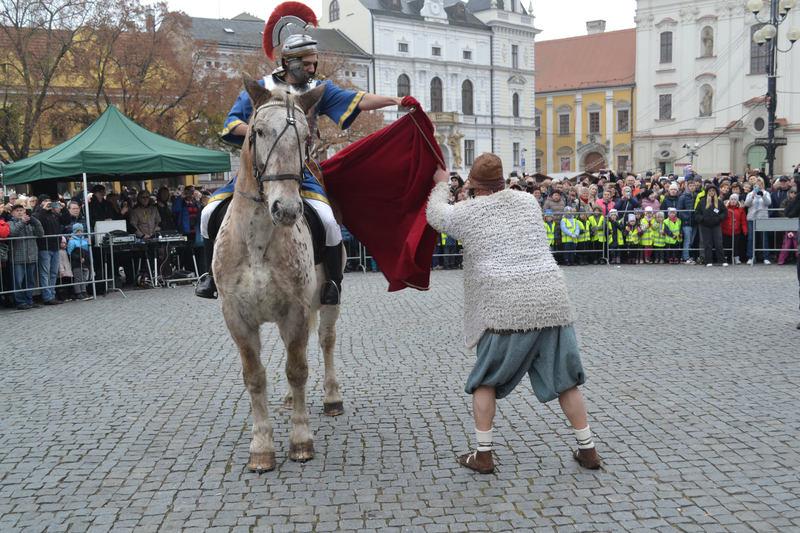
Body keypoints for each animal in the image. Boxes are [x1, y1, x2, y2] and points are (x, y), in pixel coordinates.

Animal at [216, 75, 344, 470]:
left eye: (305, 137)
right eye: (257, 132)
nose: (286, 209)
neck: (257, 242)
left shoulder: (297, 311)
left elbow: (297, 369)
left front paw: (300, 439)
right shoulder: (237, 317)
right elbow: (255, 377)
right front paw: (261, 446)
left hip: (329, 302)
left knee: (326, 342)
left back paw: (331, 398)